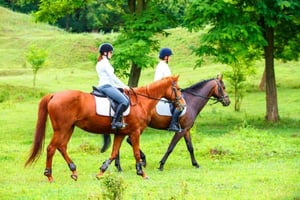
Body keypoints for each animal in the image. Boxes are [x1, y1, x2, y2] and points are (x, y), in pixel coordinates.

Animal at [25, 75, 185, 181]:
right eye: (177, 89)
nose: (182, 106)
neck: (141, 102)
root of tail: (54, 95)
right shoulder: (135, 132)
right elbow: (136, 153)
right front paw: (142, 173)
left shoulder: (121, 133)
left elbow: (114, 153)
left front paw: (101, 172)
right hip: (61, 129)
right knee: (51, 148)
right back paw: (49, 175)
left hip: (69, 128)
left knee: (62, 146)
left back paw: (74, 171)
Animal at [102, 74, 231, 171]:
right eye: (223, 87)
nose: (227, 101)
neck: (191, 102)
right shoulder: (181, 131)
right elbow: (171, 147)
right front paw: (161, 165)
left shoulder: (186, 130)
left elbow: (190, 147)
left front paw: (196, 164)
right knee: (128, 140)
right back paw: (137, 161)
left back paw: (119, 166)